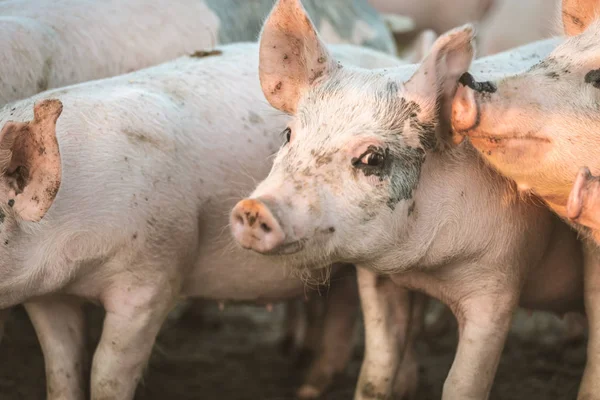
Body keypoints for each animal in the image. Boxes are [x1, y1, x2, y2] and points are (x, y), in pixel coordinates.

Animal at [232, 1, 588, 398]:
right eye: (288, 134)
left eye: (372, 158)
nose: (254, 208)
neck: (428, 267)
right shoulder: (375, 277)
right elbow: (375, 372)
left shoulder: (502, 280)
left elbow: (462, 384)